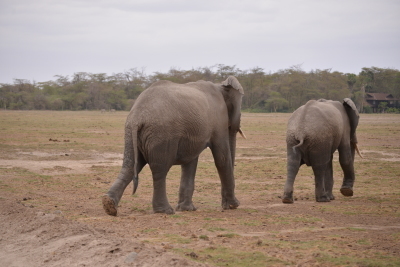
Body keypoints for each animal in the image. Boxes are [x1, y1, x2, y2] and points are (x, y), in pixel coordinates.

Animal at [101, 75, 245, 216]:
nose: (228, 206)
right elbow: (222, 159)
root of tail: (137, 117)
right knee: (159, 169)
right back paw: (165, 210)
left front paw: (187, 209)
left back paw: (109, 205)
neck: (220, 86)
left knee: (130, 165)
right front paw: (233, 205)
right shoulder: (219, 120)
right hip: (161, 134)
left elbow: (190, 162)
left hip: (131, 132)